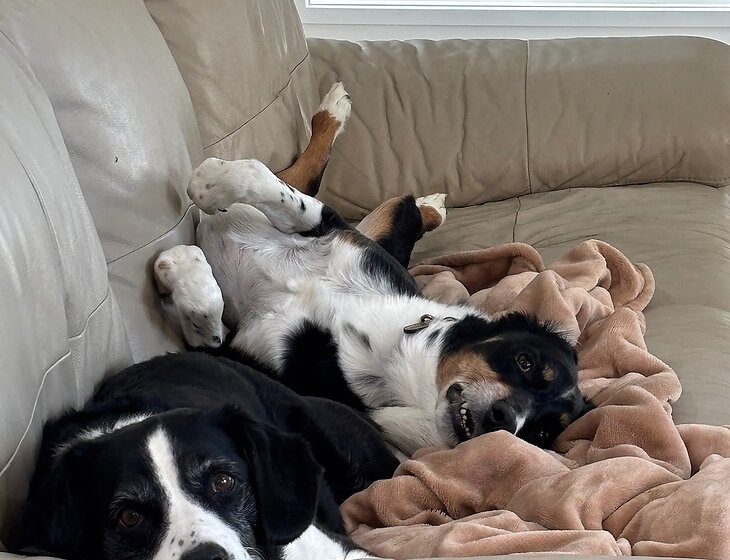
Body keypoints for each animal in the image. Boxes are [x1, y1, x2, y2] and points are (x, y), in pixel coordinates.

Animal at [156, 83, 592, 456]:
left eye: (540, 432)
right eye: (525, 361)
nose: (504, 421)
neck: (394, 345)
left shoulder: (240, 352)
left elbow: (206, 319)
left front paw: (180, 268)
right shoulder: (333, 231)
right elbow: (270, 185)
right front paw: (210, 185)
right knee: (320, 181)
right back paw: (339, 115)